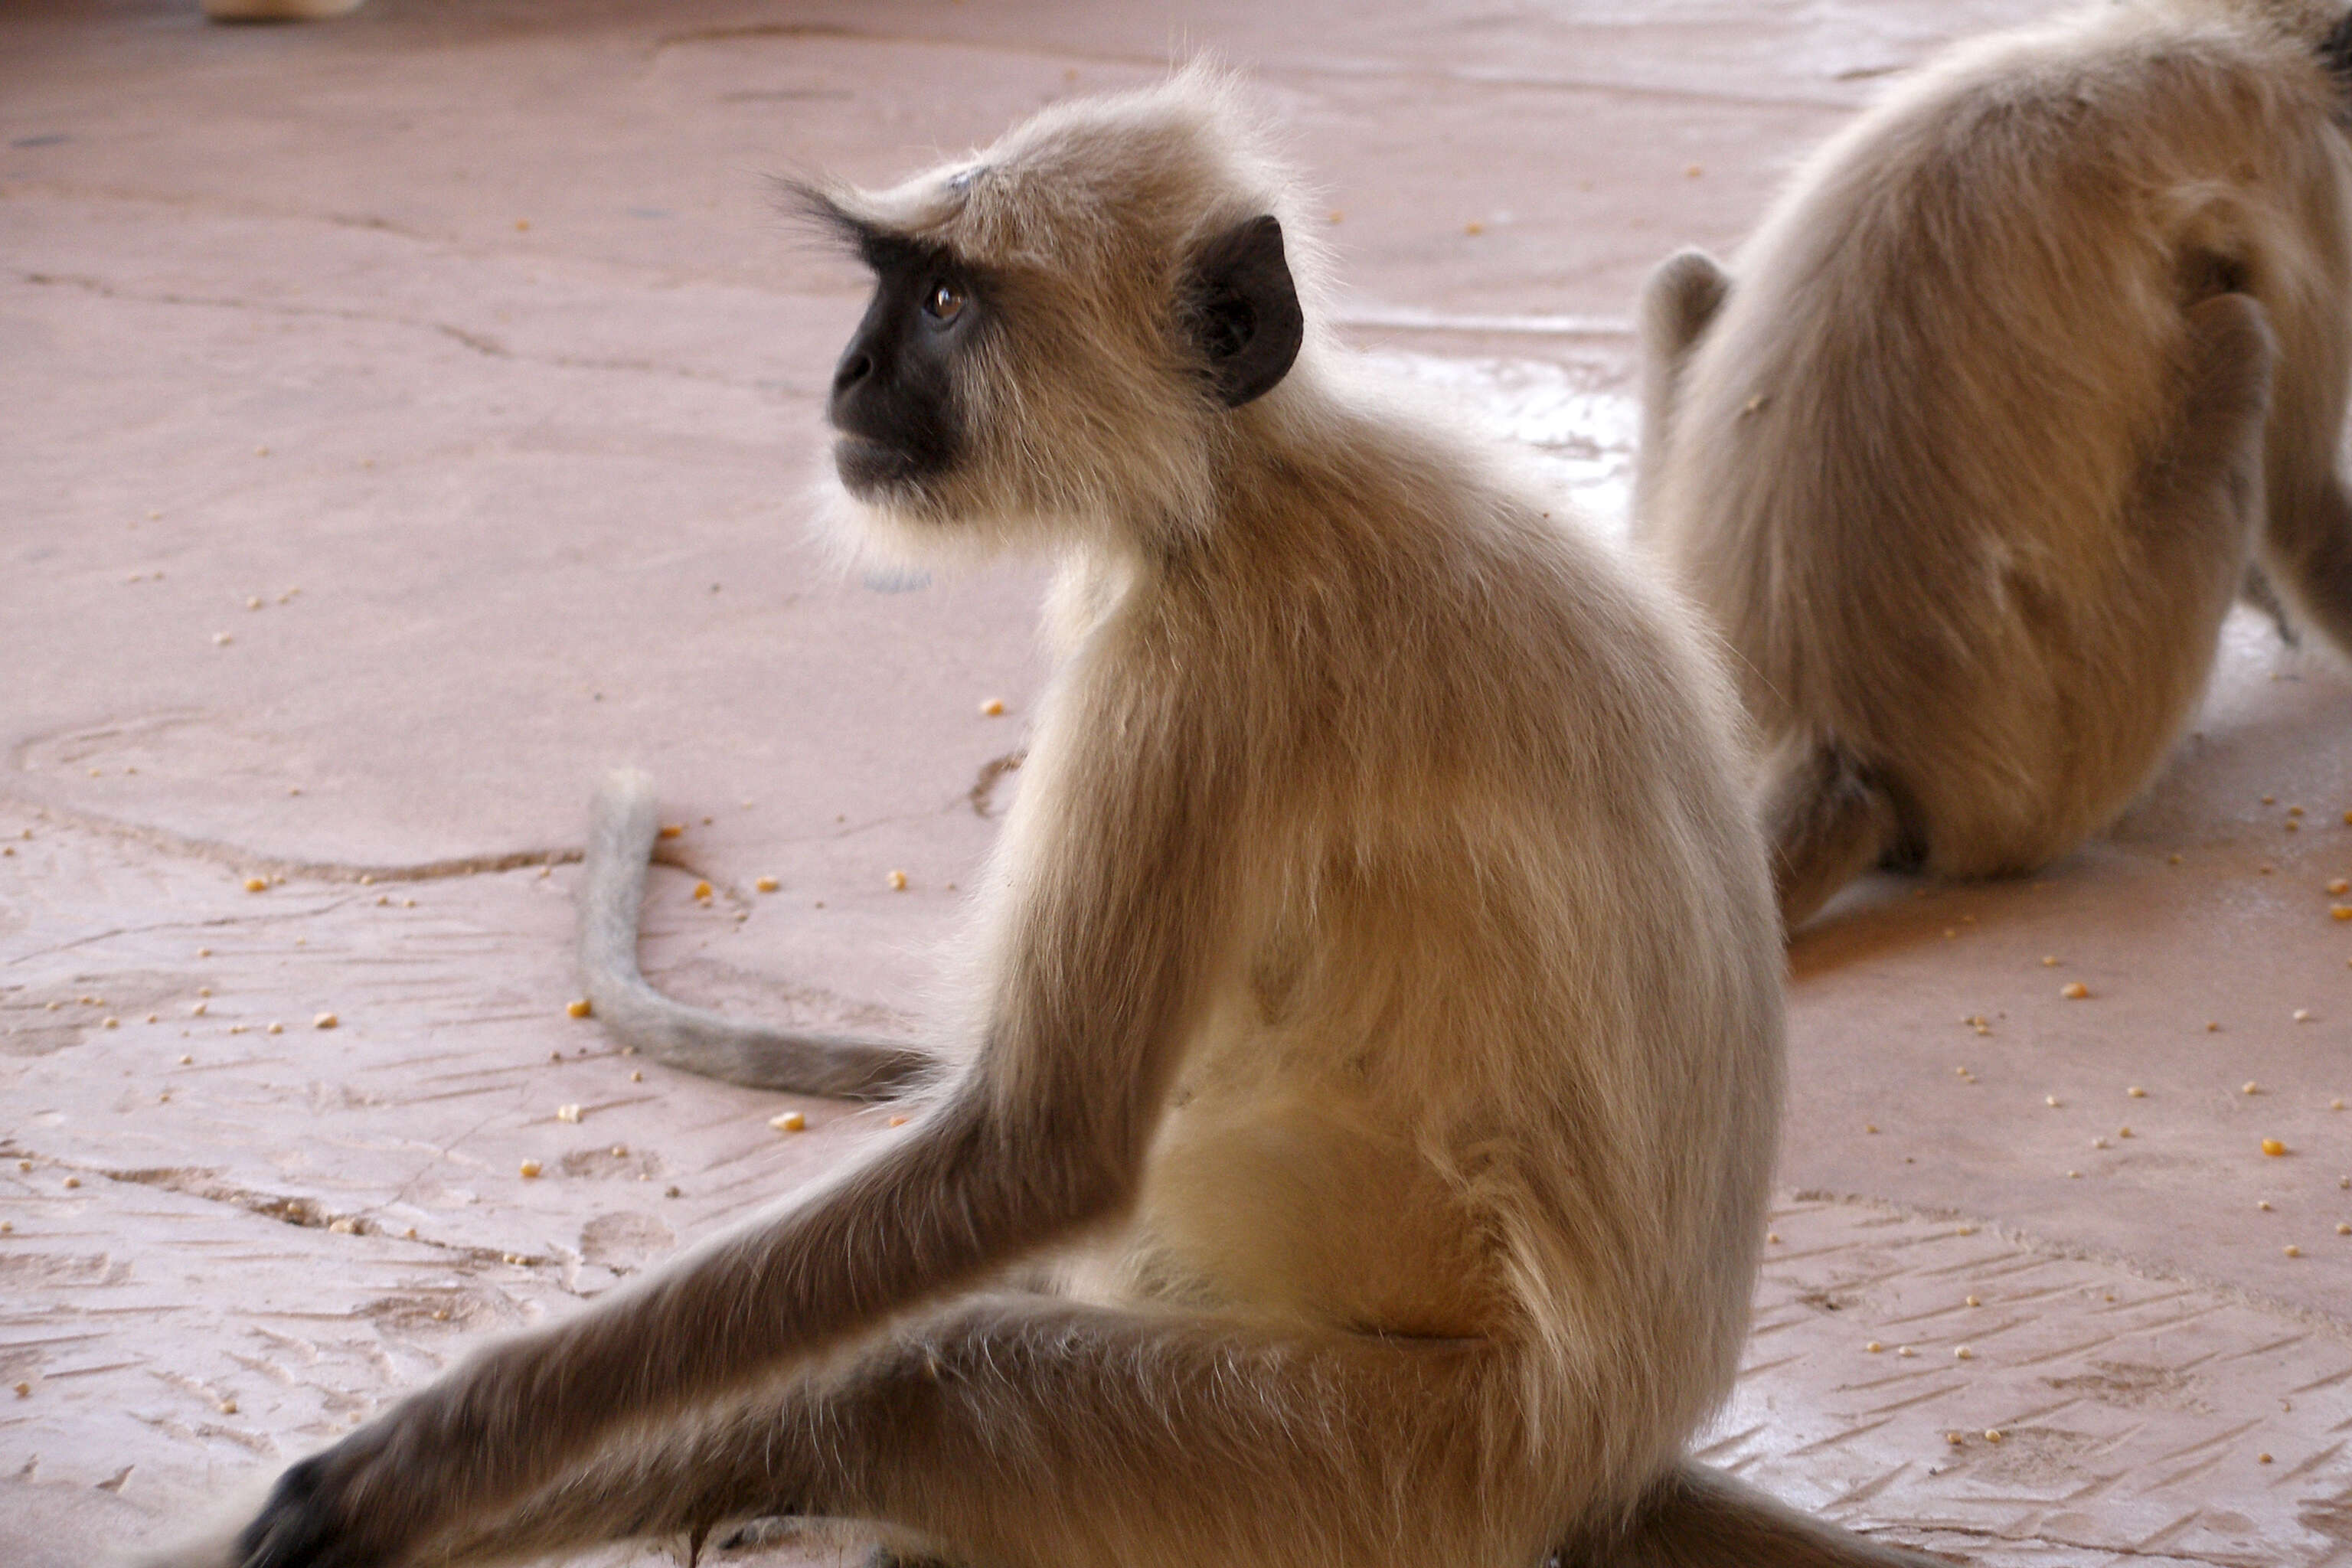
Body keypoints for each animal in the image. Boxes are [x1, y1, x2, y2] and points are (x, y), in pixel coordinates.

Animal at [147, 70, 1947, 1568]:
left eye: (945, 302)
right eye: (888, 290)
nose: (848, 371)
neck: (1247, 479)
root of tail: (1599, 1456)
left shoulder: (1205, 659)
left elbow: (1041, 1143)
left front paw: (411, 1460)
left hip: (1379, 1460)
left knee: (910, 1382)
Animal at [1646, 0, 2352, 930]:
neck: (2207, 27)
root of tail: (1829, 733)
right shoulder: (2310, 174)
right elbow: (2308, 515)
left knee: (1682, 279)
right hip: (2069, 762)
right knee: (2240, 329)